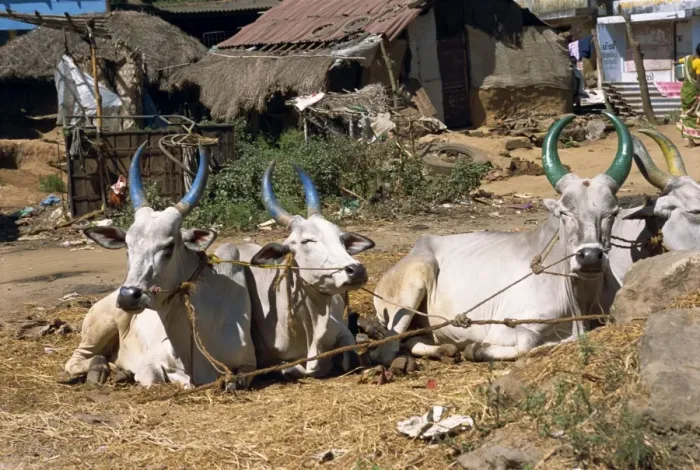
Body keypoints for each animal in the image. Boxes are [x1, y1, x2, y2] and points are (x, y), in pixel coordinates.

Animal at [64, 143, 256, 388]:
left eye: (169, 246)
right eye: (127, 245)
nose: (128, 296)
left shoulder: (249, 363)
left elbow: (238, 378)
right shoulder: (152, 361)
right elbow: (154, 376)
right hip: (99, 327)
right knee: (76, 361)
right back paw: (104, 370)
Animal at [236, 162, 376, 379]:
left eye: (341, 238)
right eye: (307, 240)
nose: (357, 269)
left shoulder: (342, 332)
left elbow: (350, 358)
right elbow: (289, 368)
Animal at [369, 112, 634, 365]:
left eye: (612, 213)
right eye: (565, 212)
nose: (590, 256)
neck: (577, 299)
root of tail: (417, 246)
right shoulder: (507, 326)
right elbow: (526, 345)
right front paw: (474, 349)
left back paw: (446, 349)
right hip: (413, 284)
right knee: (390, 347)